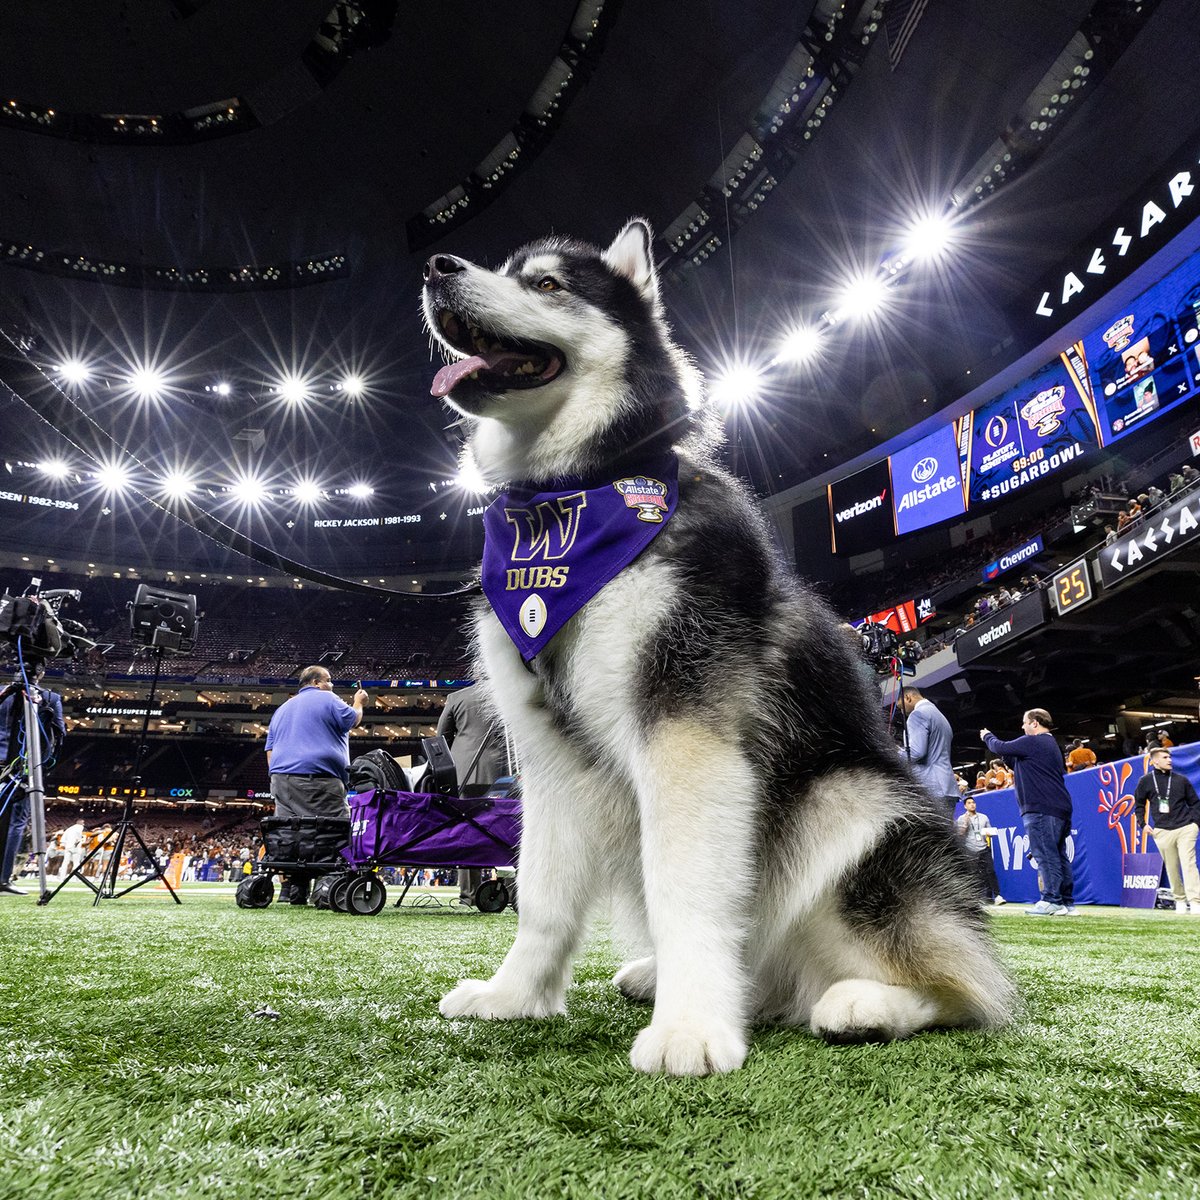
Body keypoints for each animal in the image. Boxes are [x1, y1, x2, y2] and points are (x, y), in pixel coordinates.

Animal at [422, 220, 1012, 1075]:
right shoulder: (550, 754)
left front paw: (691, 1027)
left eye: (548, 284)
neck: (575, 496)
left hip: (848, 799)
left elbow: (686, 890)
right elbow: (539, 898)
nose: (438, 267)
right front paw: (515, 997)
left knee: (965, 985)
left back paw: (865, 1003)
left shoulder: (688, 729)